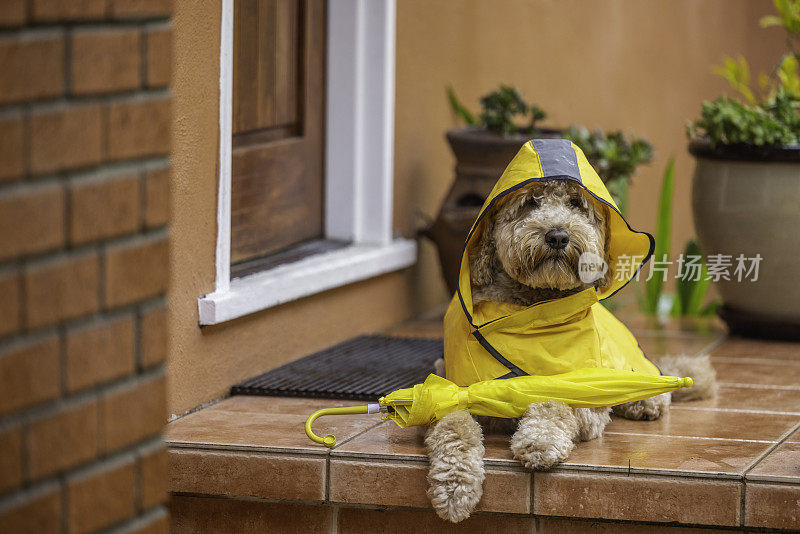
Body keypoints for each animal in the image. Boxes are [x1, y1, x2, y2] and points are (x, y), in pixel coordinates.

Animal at [428, 175, 716, 524]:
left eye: (576, 204)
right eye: (529, 203)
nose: (557, 235)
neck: (534, 309)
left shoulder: (586, 400)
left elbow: (554, 402)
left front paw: (539, 441)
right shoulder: (451, 391)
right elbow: (453, 427)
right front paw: (454, 486)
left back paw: (645, 402)